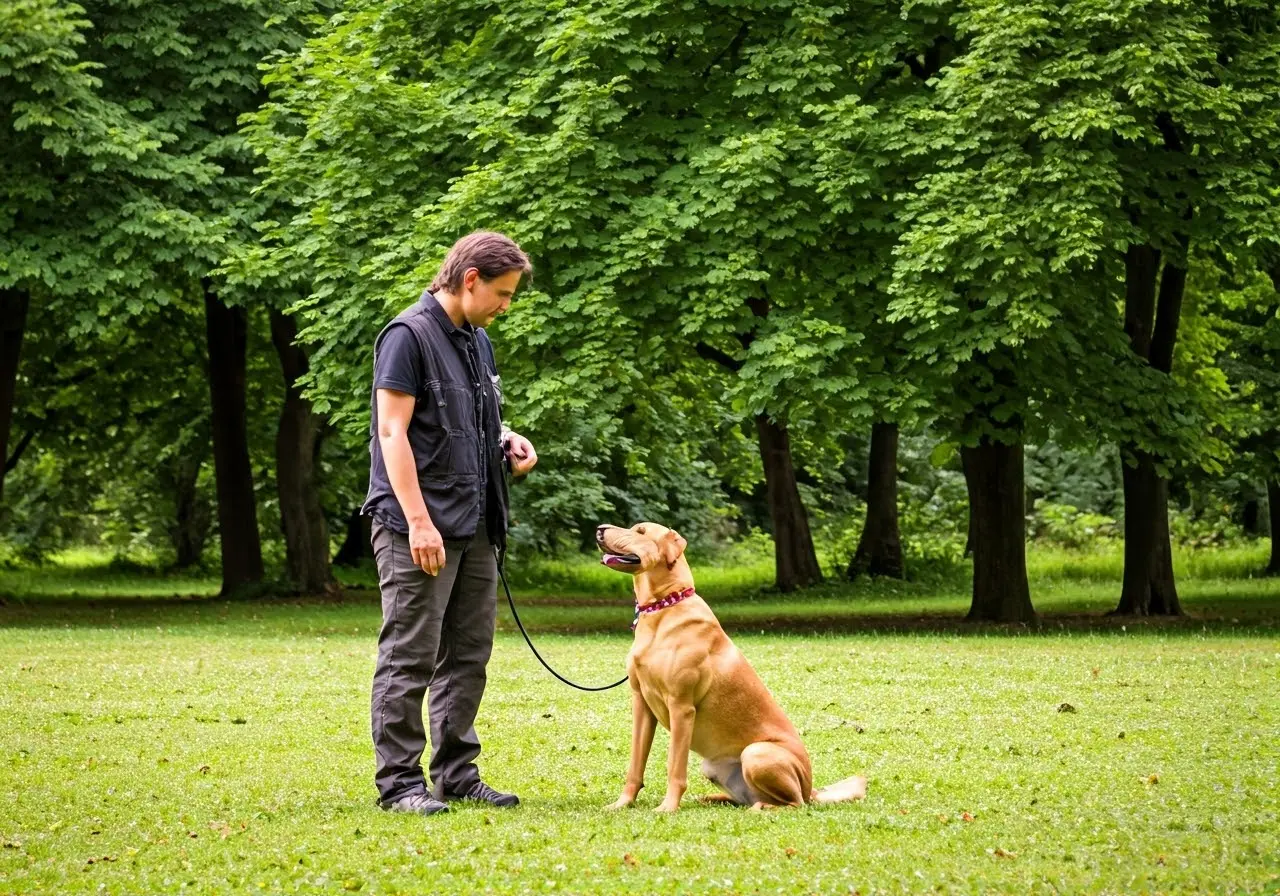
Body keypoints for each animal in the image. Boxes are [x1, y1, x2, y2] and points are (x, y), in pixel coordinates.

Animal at [596, 517, 870, 814]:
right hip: (713, 767)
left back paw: (760, 808)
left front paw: (668, 807)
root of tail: (812, 790)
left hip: (756, 753)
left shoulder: (681, 707)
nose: (600, 530)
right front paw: (622, 803)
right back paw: (713, 799)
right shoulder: (641, 704)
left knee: (793, 803)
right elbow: (635, 765)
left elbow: (675, 767)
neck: (663, 607)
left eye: (641, 531)